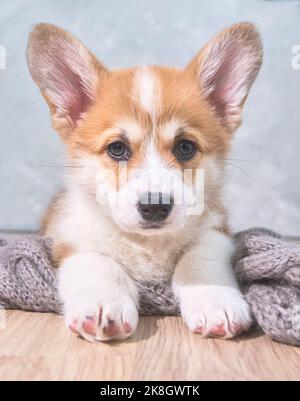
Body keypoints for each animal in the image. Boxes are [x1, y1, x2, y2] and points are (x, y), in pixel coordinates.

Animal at [27, 21, 262, 340]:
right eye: (117, 148)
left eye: (185, 147)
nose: (155, 206)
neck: (148, 244)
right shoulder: (71, 239)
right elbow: (99, 263)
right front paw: (103, 303)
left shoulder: (217, 231)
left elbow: (199, 257)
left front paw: (215, 300)